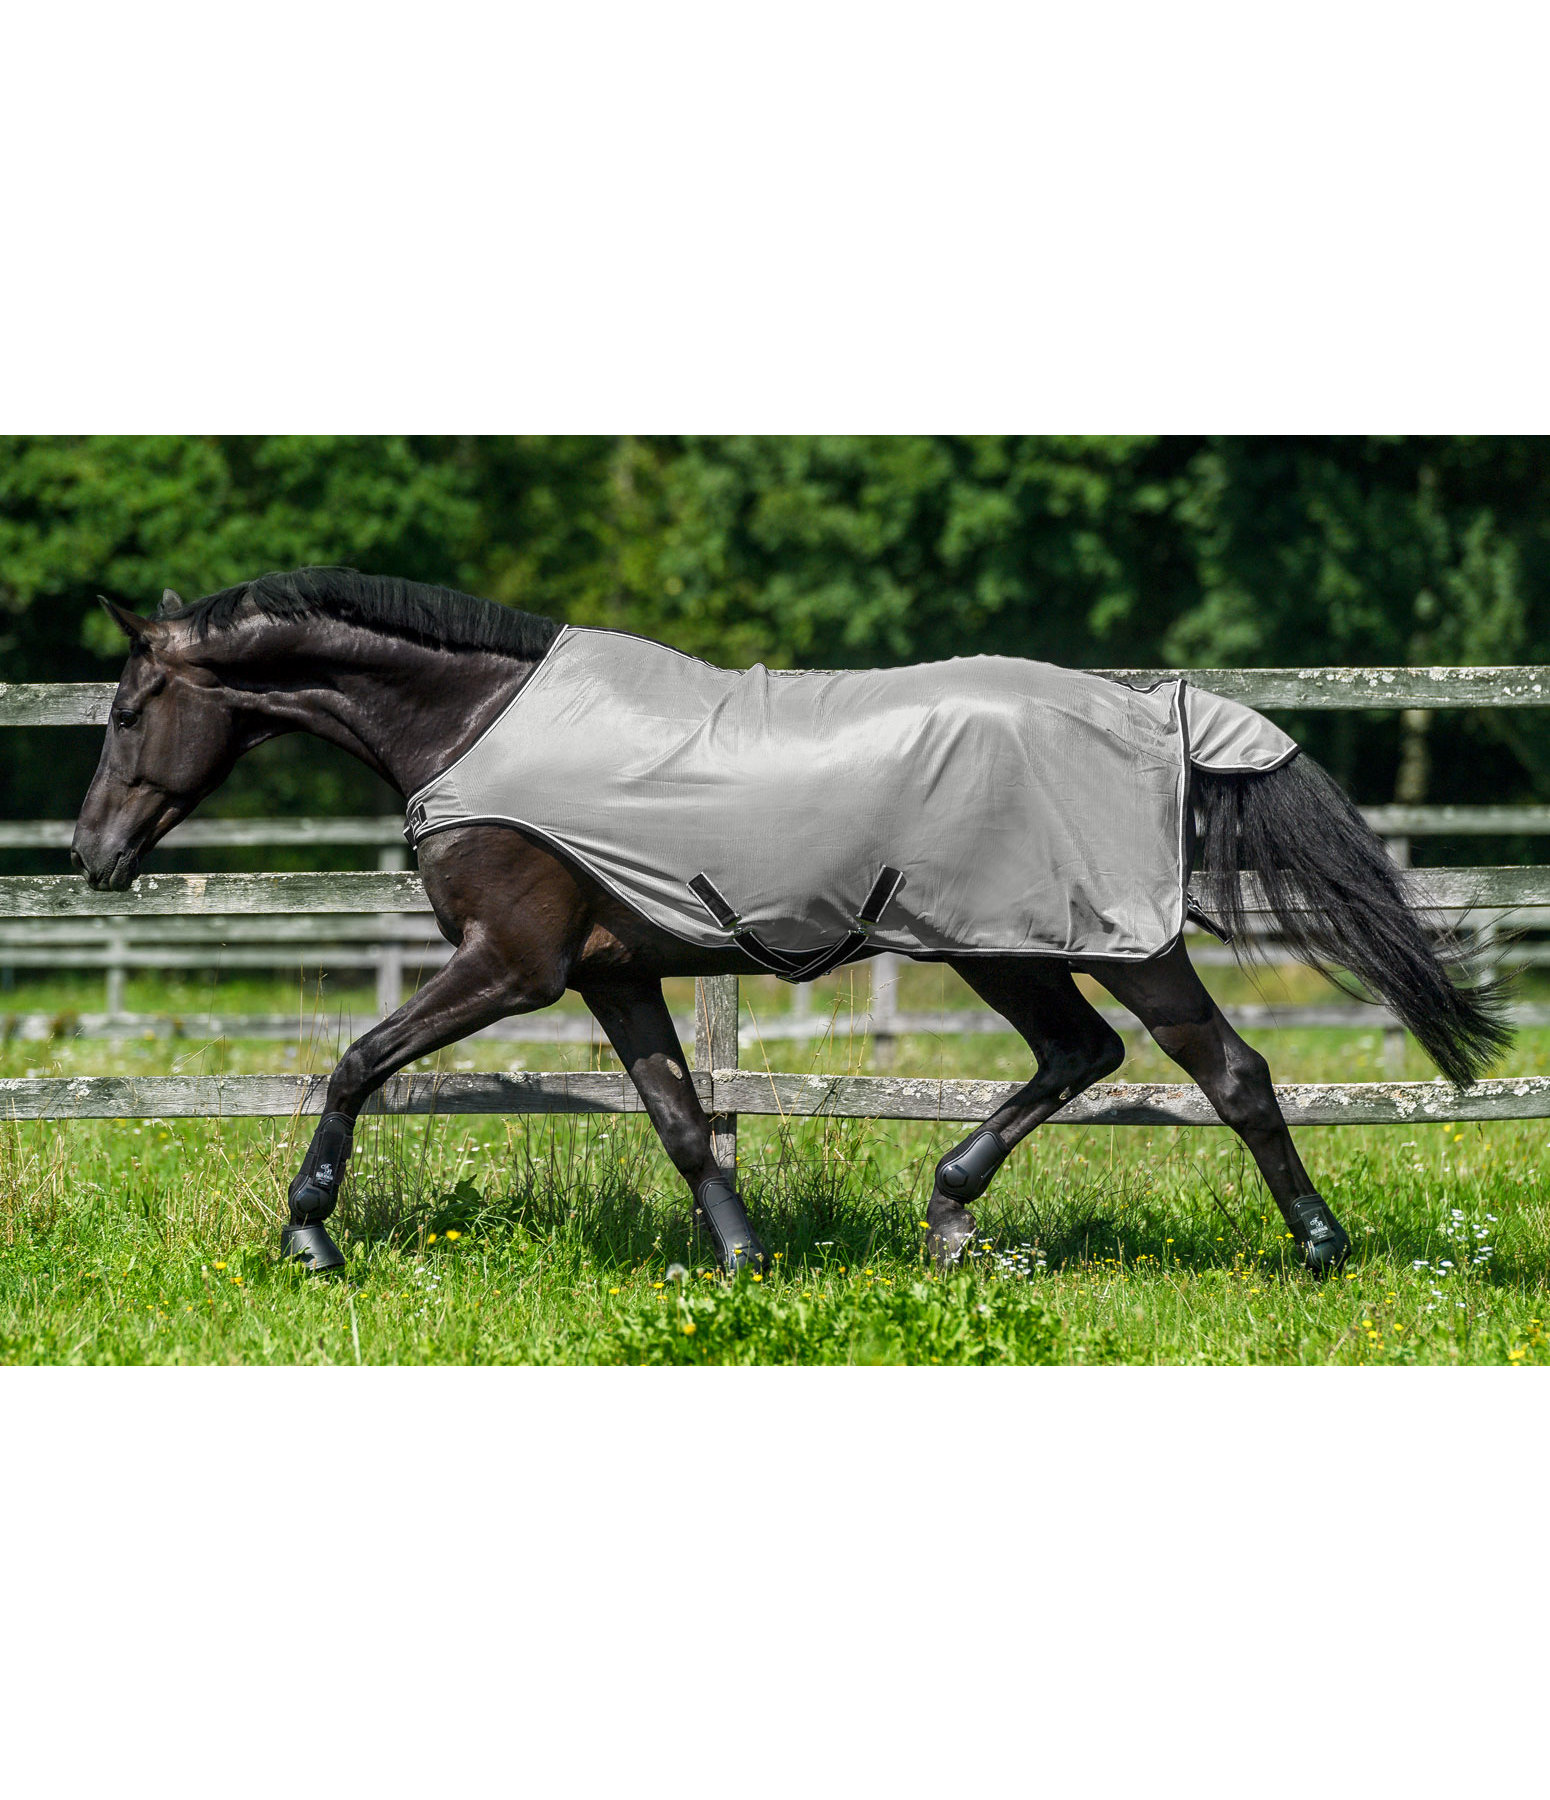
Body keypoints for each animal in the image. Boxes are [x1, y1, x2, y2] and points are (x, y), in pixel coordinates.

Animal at [75, 568, 1512, 1274]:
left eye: (130, 709)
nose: (92, 856)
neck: (477, 726)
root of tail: (1146, 710)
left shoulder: (513, 967)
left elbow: (358, 1062)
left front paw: (310, 1234)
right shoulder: (608, 976)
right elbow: (675, 1117)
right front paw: (740, 1260)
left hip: (1103, 944)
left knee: (1225, 1071)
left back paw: (1318, 1249)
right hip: (1003, 948)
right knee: (1078, 1057)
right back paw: (951, 1223)